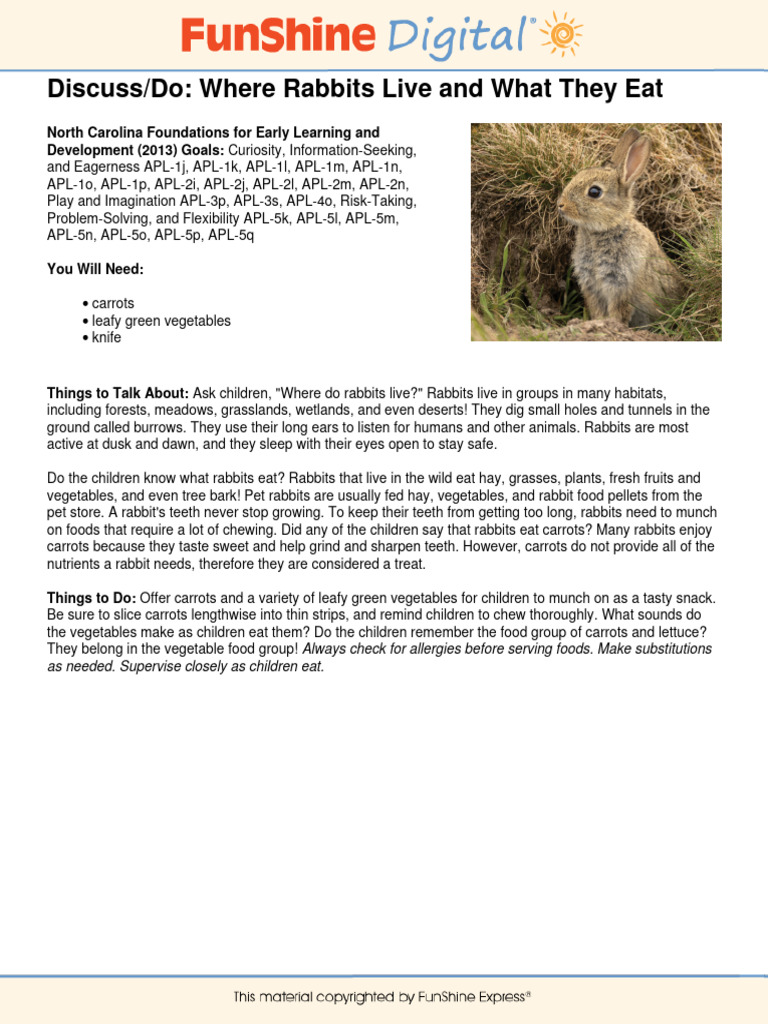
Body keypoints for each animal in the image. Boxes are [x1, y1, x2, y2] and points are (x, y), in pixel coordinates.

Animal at [558, 128, 682, 327]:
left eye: (594, 192)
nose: (561, 205)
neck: (604, 230)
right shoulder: (592, 287)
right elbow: (598, 309)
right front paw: (597, 323)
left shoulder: (621, 284)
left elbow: (618, 311)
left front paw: (611, 325)